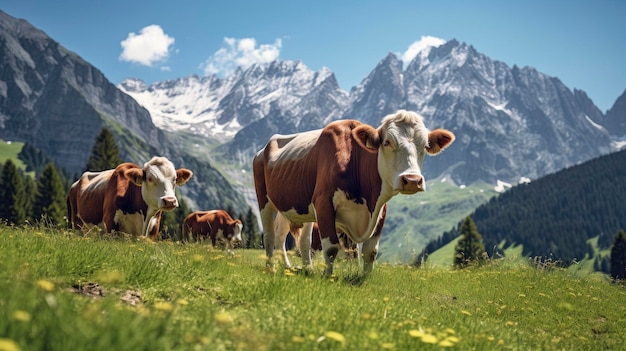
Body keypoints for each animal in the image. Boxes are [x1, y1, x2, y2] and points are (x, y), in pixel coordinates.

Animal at [254, 110, 454, 276]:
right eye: (387, 142)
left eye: (425, 145)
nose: (412, 180)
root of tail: (263, 149)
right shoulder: (323, 202)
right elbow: (331, 248)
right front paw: (327, 277)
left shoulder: (381, 208)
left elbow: (370, 251)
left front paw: (364, 280)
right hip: (264, 200)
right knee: (269, 235)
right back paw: (271, 268)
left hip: (292, 206)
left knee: (295, 238)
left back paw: (302, 268)